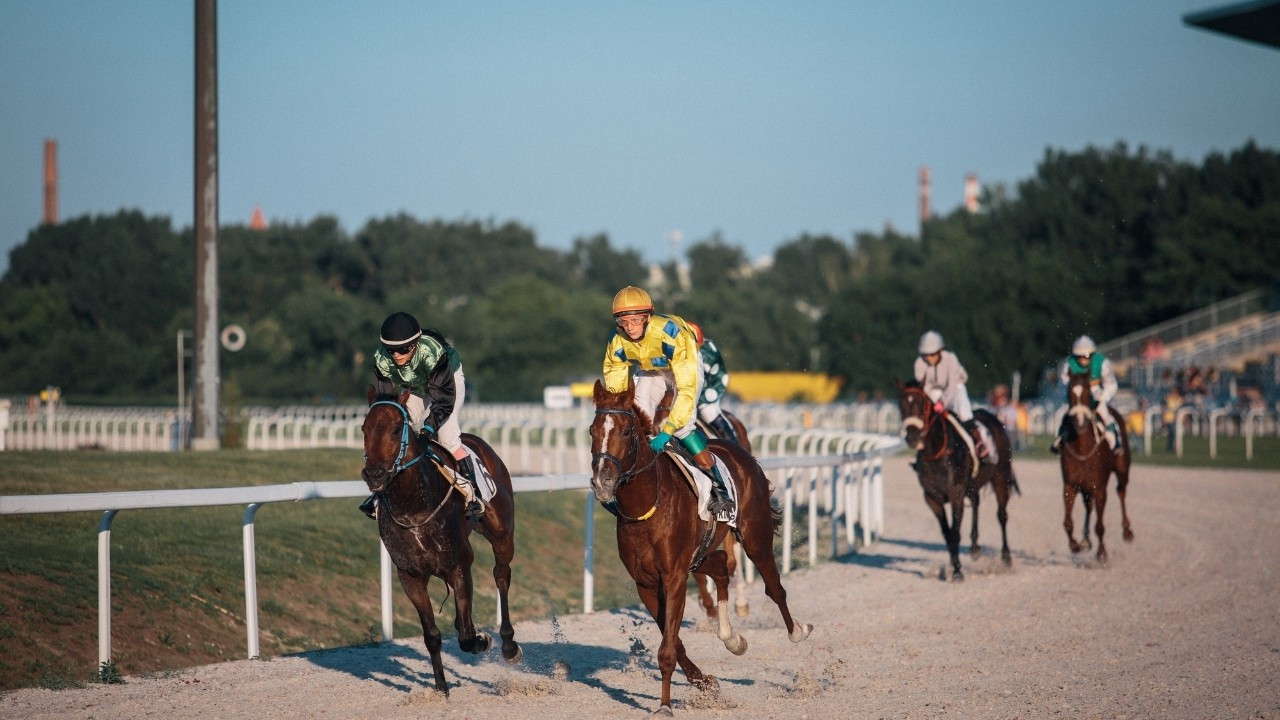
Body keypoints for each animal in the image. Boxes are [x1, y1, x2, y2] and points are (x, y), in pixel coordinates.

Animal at [360, 384, 519, 691]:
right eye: (364, 428)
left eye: (396, 430)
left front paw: (483, 640)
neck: (414, 507)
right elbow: (432, 636)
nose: (374, 474)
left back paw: (508, 644)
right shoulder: (410, 575)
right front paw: (441, 688)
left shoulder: (459, 565)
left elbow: (467, 638)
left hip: (502, 533)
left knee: (502, 575)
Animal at [588, 379, 808, 712]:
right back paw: (732, 638)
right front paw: (703, 681)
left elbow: (667, 647)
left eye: (626, 432)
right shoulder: (646, 583)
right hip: (701, 553)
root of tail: (738, 452)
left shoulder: (674, 577)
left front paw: (665, 706)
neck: (647, 505)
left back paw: (797, 630)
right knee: (721, 567)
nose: (602, 481)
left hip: (755, 535)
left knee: (773, 586)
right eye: (592, 430)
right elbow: (673, 641)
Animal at [901, 379, 1018, 579]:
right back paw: (975, 548)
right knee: (976, 502)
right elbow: (947, 533)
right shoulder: (931, 497)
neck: (937, 452)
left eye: (923, 405)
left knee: (1002, 515)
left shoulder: (956, 494)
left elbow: (955, 532)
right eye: (901, 405)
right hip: (972, 484)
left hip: (1000, 477)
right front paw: (953, 564)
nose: (912, 437)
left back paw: (1006, 558)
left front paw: (957, 572)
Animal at [1054, 368, 1136, 561]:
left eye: (1086, 393)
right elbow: (1067, 522)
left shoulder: (1099, 488)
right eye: (1069, 393)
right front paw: (1076, 545)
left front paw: (1102, 553)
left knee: (1121, 492)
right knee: (1088, 506)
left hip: (1122, 470)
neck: (1083, 448)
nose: (1080, 422)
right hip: (1085, 487)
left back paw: (1127, 531)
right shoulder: (1070, 485)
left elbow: (1100, 525)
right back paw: (1085, 540)